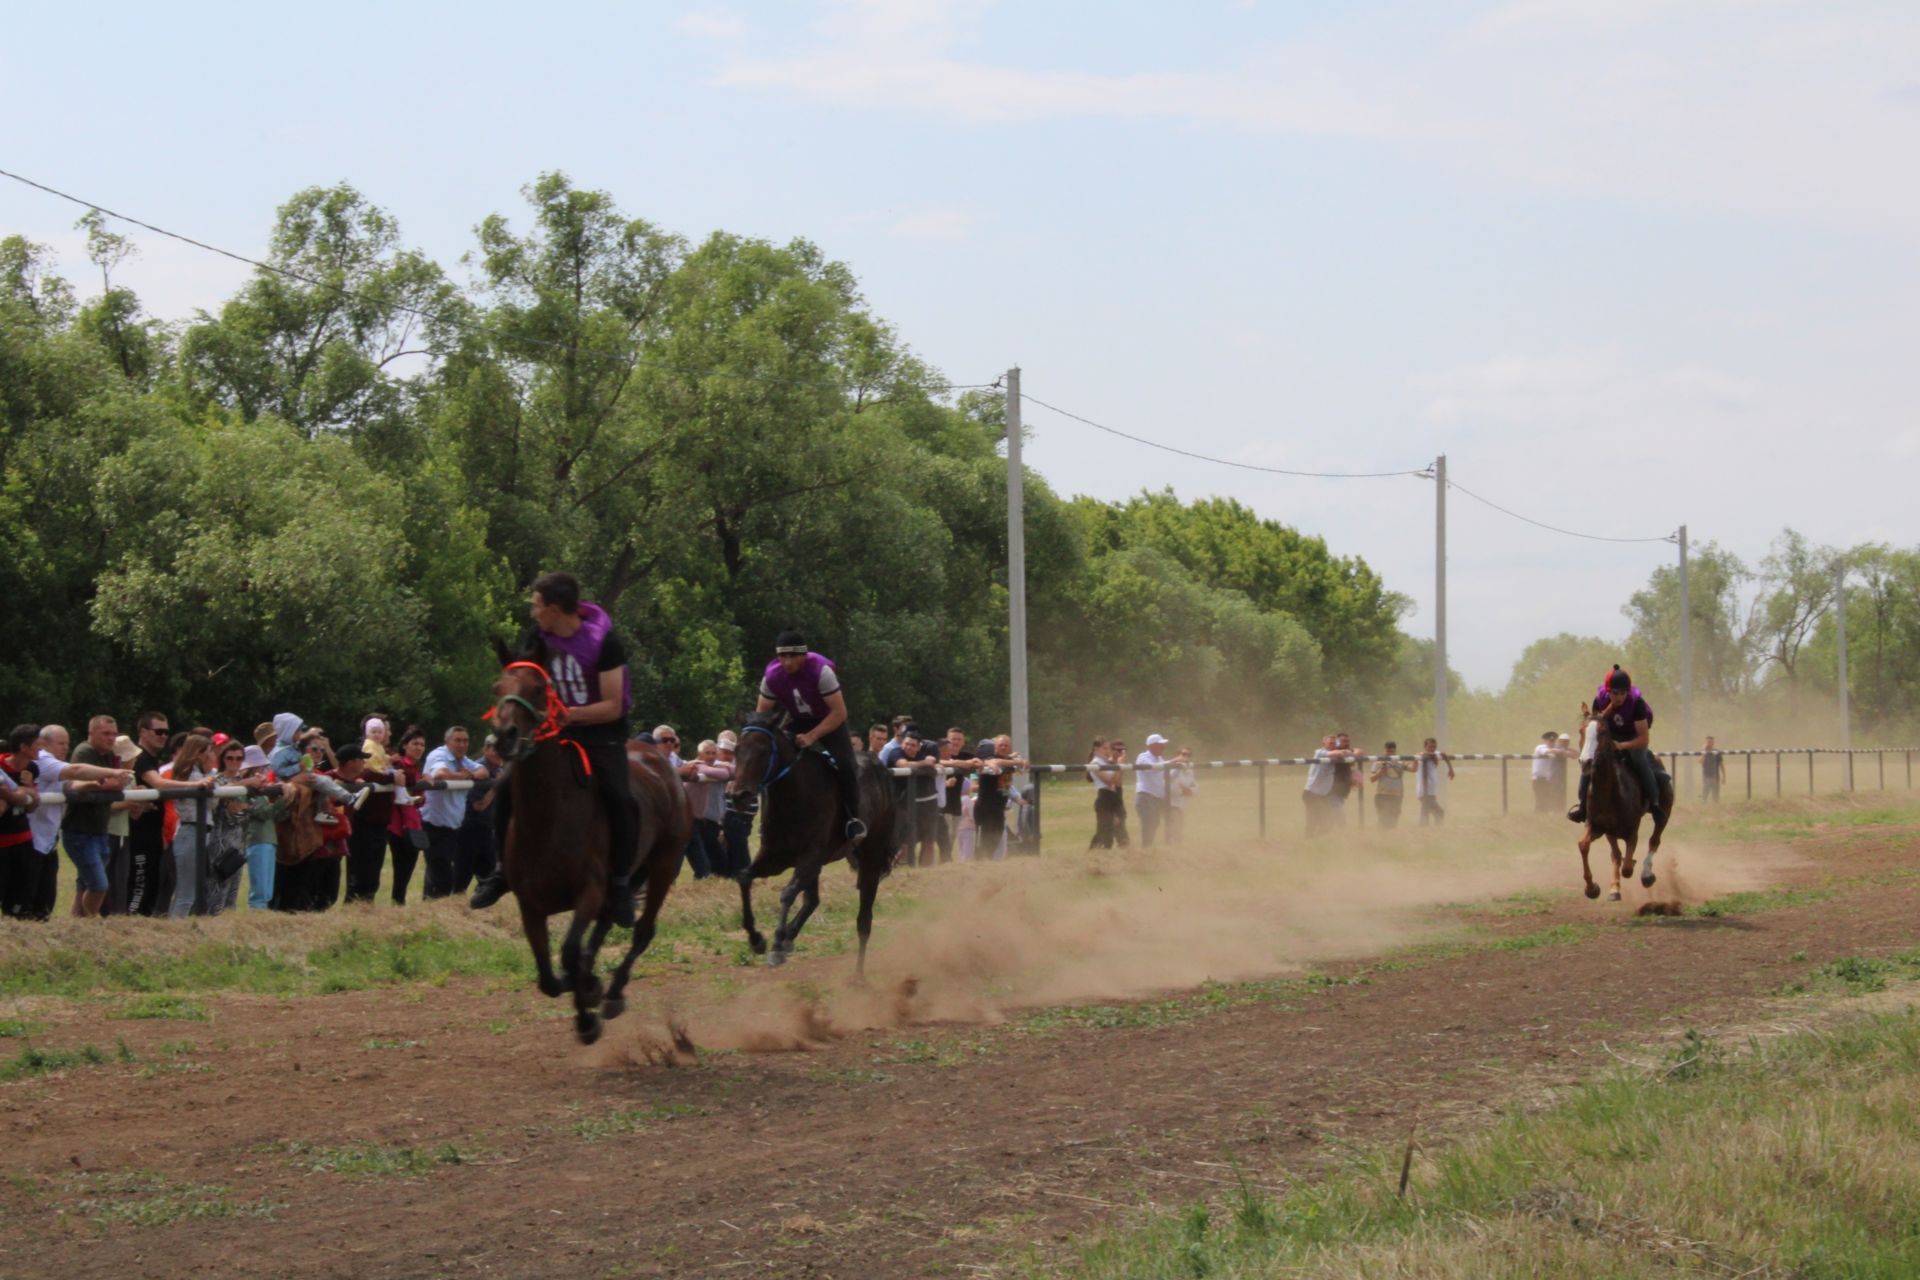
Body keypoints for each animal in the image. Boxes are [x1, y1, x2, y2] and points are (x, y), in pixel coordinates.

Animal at [487, 652, 691, 1043]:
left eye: (539, 688)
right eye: (498, 687)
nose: (504, 737)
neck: (548, 818)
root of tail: (659, 759)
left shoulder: (590, 889)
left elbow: (569, 953)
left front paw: (588, 1012)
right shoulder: (530, 905)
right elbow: (549, 978)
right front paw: (582, 987)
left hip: (663, 864)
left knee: (642, 931)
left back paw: (612, 994)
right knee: (607, 921)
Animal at [721, 710, 894, 971]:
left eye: (763, 751)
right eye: (737, 750)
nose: (738, 796)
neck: (793, 797)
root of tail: (878, 763)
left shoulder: (809, 859)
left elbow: (787, 893)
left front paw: (776, 945)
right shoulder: (775, 858)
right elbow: (743, 878)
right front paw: (757, 939)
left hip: (870, 857)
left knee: (864, 919)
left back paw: (858, 974)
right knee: (813, 900)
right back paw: (789, 939)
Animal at [1582, 736, 1674, 905]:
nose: (1586, 762)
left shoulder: (1632, 829)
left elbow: (1627, 867)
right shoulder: (1603, 828)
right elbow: (1613, 854)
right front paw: (1603, 890)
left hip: (1665, 811)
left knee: (1655, 839)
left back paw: (1647, 875)